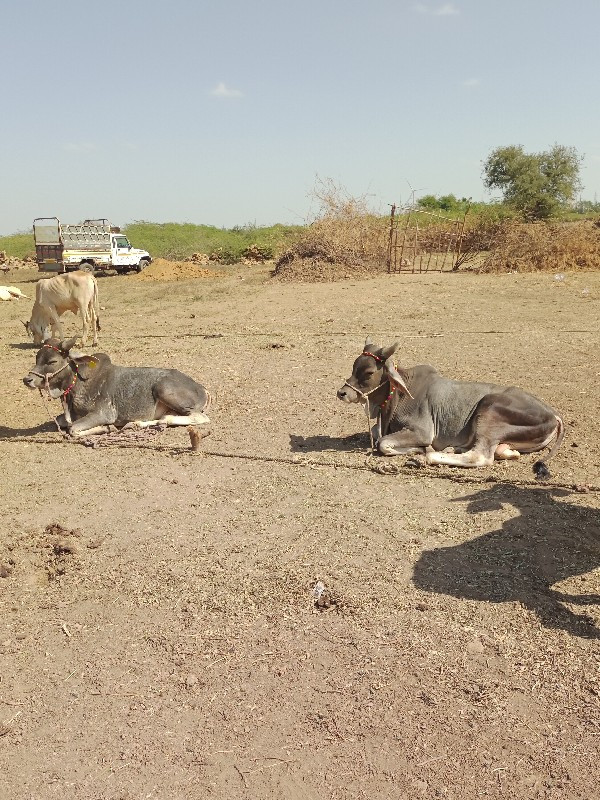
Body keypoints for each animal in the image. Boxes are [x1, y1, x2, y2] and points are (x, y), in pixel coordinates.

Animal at [22, 338, 211, 438]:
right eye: (37, 357)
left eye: (52, 361)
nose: (27, 379)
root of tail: (202, 389)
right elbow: (63, 422)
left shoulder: (103, 413)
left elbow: (73, 429)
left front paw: (109, 428)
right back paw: (136, 423)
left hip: (163, 389)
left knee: (198, 418)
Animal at [340, 336, 564, 478]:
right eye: (353, 366)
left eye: (369, 372)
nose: (342, 393)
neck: (399, 395)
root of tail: (553, 415)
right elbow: (376, 433)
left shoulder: (423, 431)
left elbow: (383, 443)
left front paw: (421, 449)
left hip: (489, 408)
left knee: (480, 456)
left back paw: (426, 457)